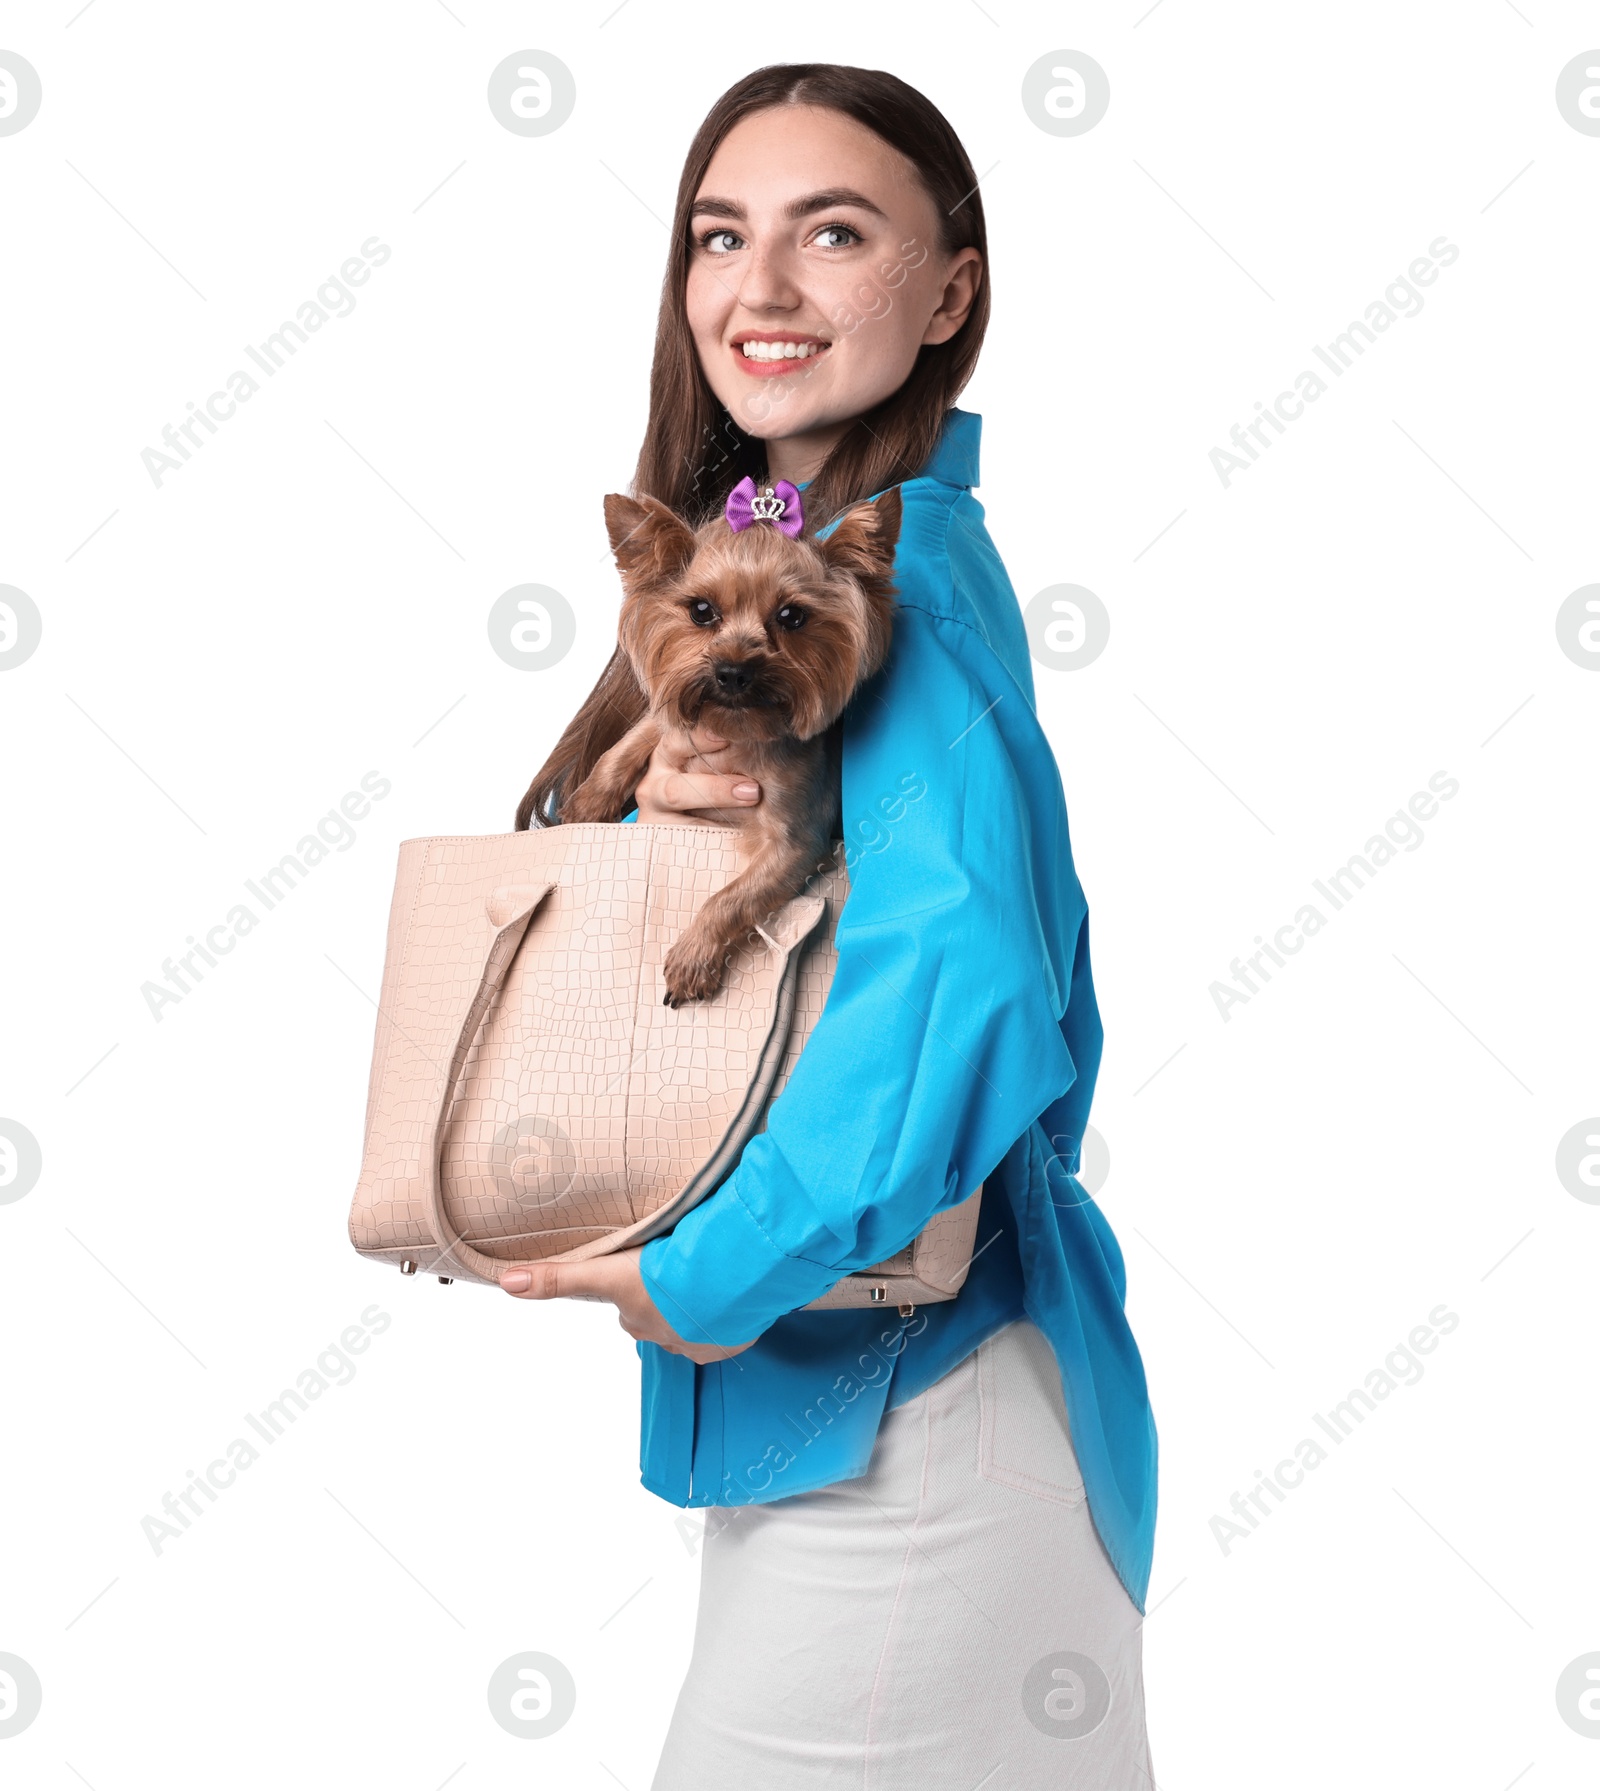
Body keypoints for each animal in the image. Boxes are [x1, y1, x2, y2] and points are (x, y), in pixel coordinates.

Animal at [566, 476, 899, 1010]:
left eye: (792, 616)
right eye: (701, 610)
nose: (733, 671)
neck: (741, 732)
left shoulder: (796, 843)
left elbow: (733, 897)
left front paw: (693, 956)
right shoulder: (682, 715)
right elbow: (644, 731)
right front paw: (590, 801)